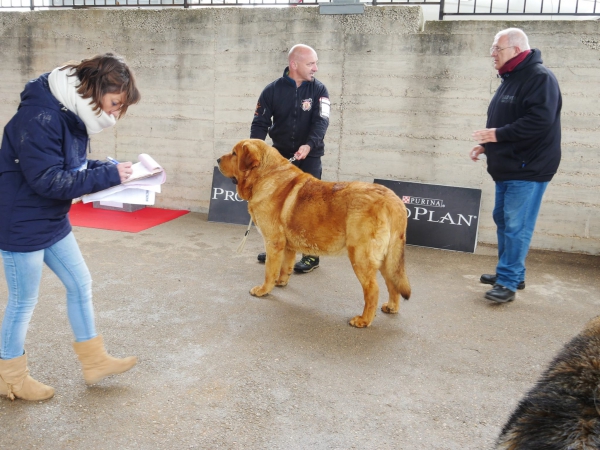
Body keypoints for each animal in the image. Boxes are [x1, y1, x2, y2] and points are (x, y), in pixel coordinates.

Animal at [217, 139, 412, 328]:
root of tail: (393, 200)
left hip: (360, 256)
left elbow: (269, 270)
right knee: (392, 283)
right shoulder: (287, 245)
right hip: (388, 257)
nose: (218, 160)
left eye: (234, 154)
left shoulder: (274, 242)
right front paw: (281, 282)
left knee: (373, 289)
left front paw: (264, 289)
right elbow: (285, 266)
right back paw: (391, 306)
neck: (264, 175)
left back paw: (363, 320)